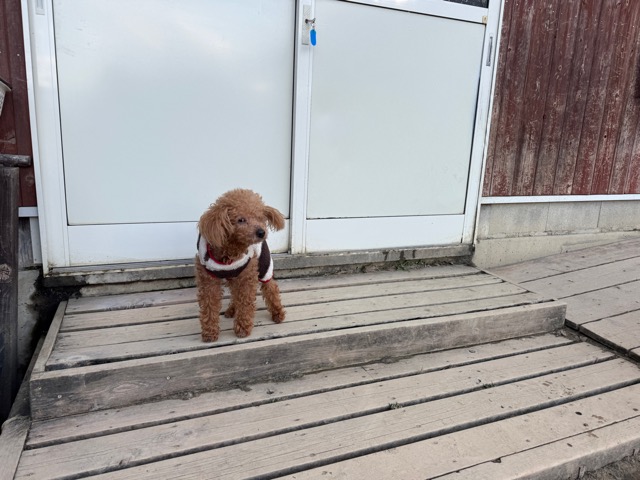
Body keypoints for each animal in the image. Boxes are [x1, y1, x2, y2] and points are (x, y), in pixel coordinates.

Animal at [195, 189, 286, 342]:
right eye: (241, 220)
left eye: (261, 218)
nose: (261, 232)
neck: (230, 251)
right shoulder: (208, 280)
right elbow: (209, 305)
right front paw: (209, 333)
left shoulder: (246, 277)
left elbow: (245, 303)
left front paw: (243, 329)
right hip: (234, 277)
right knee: (235, 294)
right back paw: (232, 310)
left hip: (264, 266)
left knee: (271, 288)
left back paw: (278, 313)